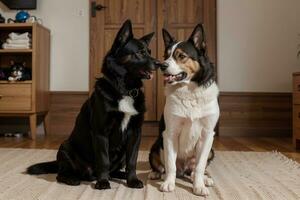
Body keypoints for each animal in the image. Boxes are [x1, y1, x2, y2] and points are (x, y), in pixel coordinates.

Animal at [27, 19, 159, 190]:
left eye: (149, 51)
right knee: (61, 174)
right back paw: (73, 179)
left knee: (113, 170)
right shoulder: (101, 132)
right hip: (65, 147)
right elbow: (103, 160)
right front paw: (102, 182)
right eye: (140, 52)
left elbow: (132, 161)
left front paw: (132, 180)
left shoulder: (135, 133)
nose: (161, 64)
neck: (124, 89)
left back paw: (120, 175)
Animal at [149, 23, 219, 195]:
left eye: (181, 56)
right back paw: (157, 174)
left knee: (193, 170)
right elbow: (170, 164)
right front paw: (169, 183)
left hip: (211, 150)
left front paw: (199, 186)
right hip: (156, 145)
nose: (162, 65)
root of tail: (184, 169)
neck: (190, 91)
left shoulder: (207, 135)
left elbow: (200, 166)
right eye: (166, 55)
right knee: (163, 166)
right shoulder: (170, 133)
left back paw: (204, 178)